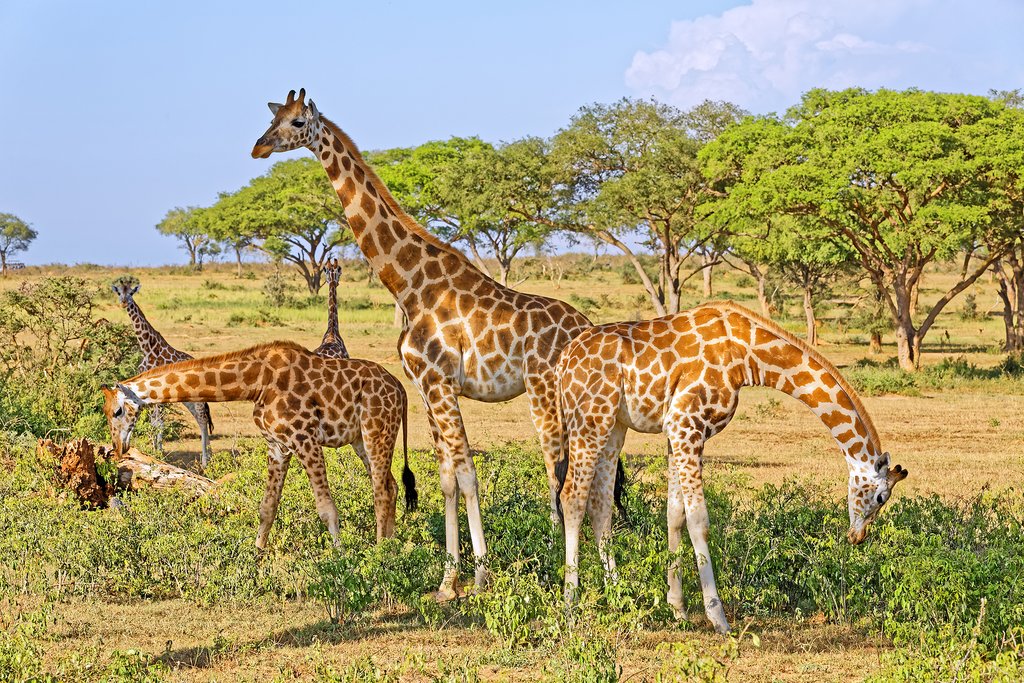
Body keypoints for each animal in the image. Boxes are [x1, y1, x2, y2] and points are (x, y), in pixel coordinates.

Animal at [101, 341, 417, 543]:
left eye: (117, 411)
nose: (118, 449)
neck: (254, 383)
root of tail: (400, 388)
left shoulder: (305, 438)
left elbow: (326, 508)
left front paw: (340, 561)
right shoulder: (277, 445)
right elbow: (267, 508)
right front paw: (257, 558)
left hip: (376, 429)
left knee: (381, 490)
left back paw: (379, 551)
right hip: (361, 439)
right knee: (390, 485)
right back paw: (391, 546)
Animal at [111, 276, 213, 467]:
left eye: (131, 292)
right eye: (119, 292)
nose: (123, 303)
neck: (148, 348)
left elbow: (159, 423)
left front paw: (159, 452)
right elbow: (154, 422)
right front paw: (153, 451)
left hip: (197, 396)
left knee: (203, 419)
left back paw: (205, 461)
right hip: (187, 399)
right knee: (199, 418)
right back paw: (208, 457)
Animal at [253, 89, 593, 598]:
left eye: (296, 122)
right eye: (271, 117)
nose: (259, 147)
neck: (410, 285)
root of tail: (587, 326)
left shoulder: (441, 385)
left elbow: (468, 475)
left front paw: (480, 574)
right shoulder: (426, 387)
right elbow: (447, 478)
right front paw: (449, 580)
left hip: (545, 397)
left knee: (562, 471)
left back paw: (566, 564)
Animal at [556, 301, 908, 633]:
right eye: (880, 498)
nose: (857, 537)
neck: (747, 355)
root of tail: (563, 362)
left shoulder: (676, 431)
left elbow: (675, 515)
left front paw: (678, 609)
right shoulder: (687, 423)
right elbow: (699, 520)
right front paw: (718, 618)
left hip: (614, 425)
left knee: (601, 504)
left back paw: (619, 597)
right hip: (590, 420)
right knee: (572, 497)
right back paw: (571, 607)